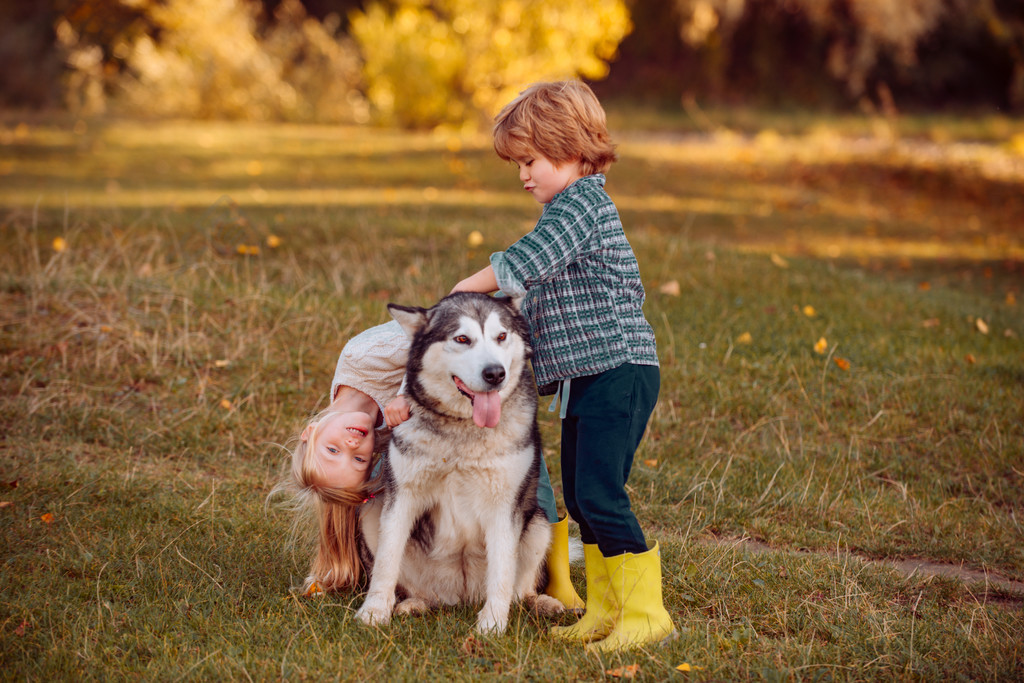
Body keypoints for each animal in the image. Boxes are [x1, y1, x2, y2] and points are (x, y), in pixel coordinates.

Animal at [356, 290, 565, 634]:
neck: (463, 431)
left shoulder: (504, 504)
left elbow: (502, 572)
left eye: (501, 336)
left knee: (520, 590)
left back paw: (543, 603)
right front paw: (373, 612)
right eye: (462, 339)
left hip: (538, 523)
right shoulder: (402, 496)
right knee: (415, 587)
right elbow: (386, 563)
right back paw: (413, 603)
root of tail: (460, 596)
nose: (495, 374)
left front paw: (492, 624)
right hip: (372, 512)